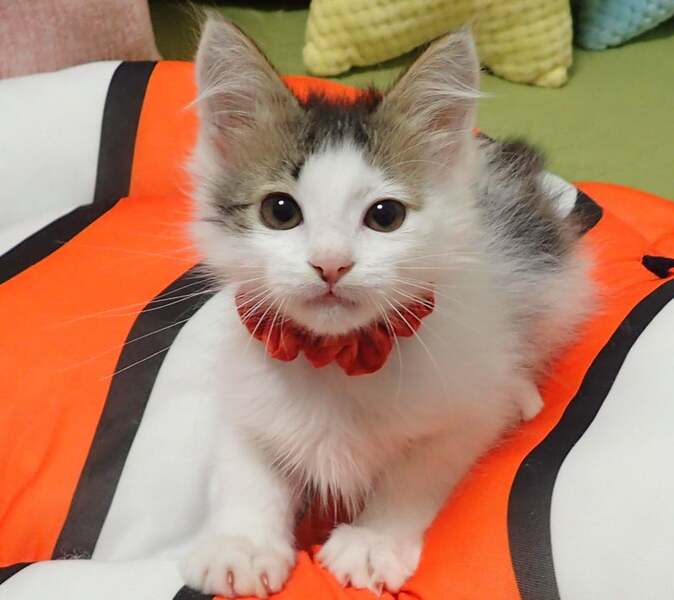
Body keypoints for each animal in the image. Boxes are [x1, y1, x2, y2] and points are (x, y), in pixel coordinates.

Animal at [179, 17, 594, 598]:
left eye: (385, 216)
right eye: (280, 211)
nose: (331, 265)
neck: (333, 360)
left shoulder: (464, 408)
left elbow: (418, 470)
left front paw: (372, 542)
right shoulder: (245, 389)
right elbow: (246, 464)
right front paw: (243, 546)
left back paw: (521, 392)